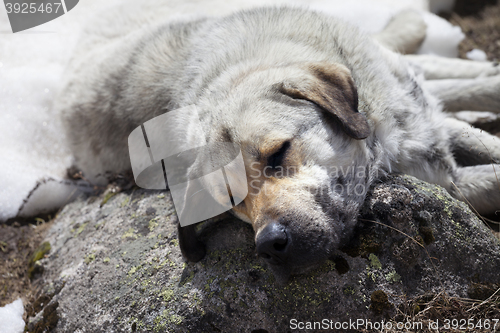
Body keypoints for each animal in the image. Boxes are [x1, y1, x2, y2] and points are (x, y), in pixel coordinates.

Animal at [56, 5, 500, 282]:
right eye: (231, 202)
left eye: (278, 153)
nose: (270, 245)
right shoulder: (444, 174)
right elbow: (484, 172)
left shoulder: (421, 122)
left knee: (430, 68)